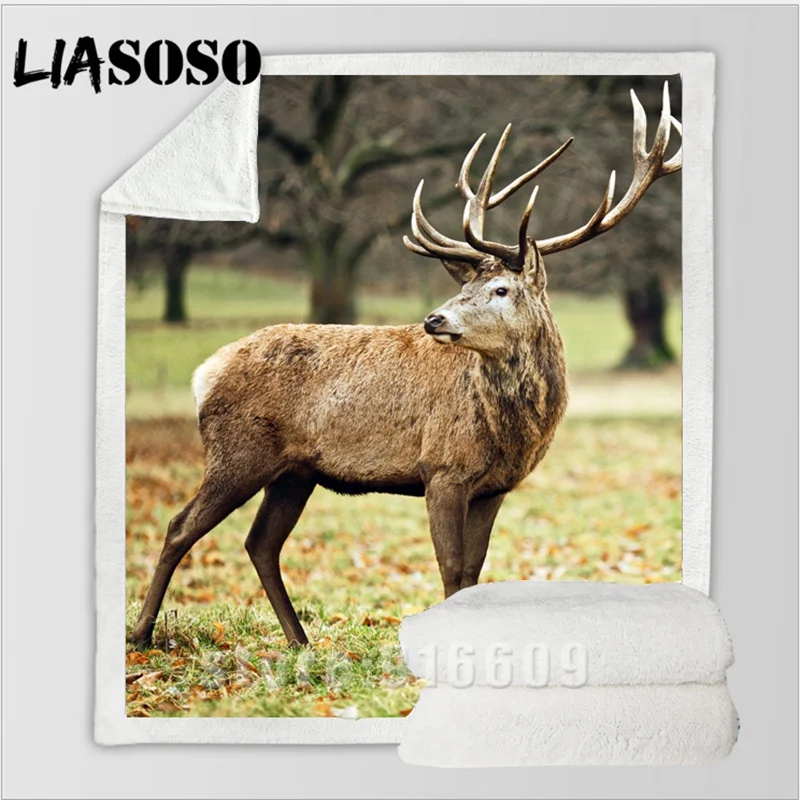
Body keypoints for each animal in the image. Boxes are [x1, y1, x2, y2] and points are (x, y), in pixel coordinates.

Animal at [130, 84, 682, 648]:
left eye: (500, 289)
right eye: (467, 286)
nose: (434, 317)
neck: (510, 432)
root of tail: (204, 373)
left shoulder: (495, 487)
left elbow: (473, 571)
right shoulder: (442, 469)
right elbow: (452, 569)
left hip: (294, 472)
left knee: (260, 542)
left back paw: (300, 642)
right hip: (238, 451)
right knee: (180, 525)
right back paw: (143, 634)